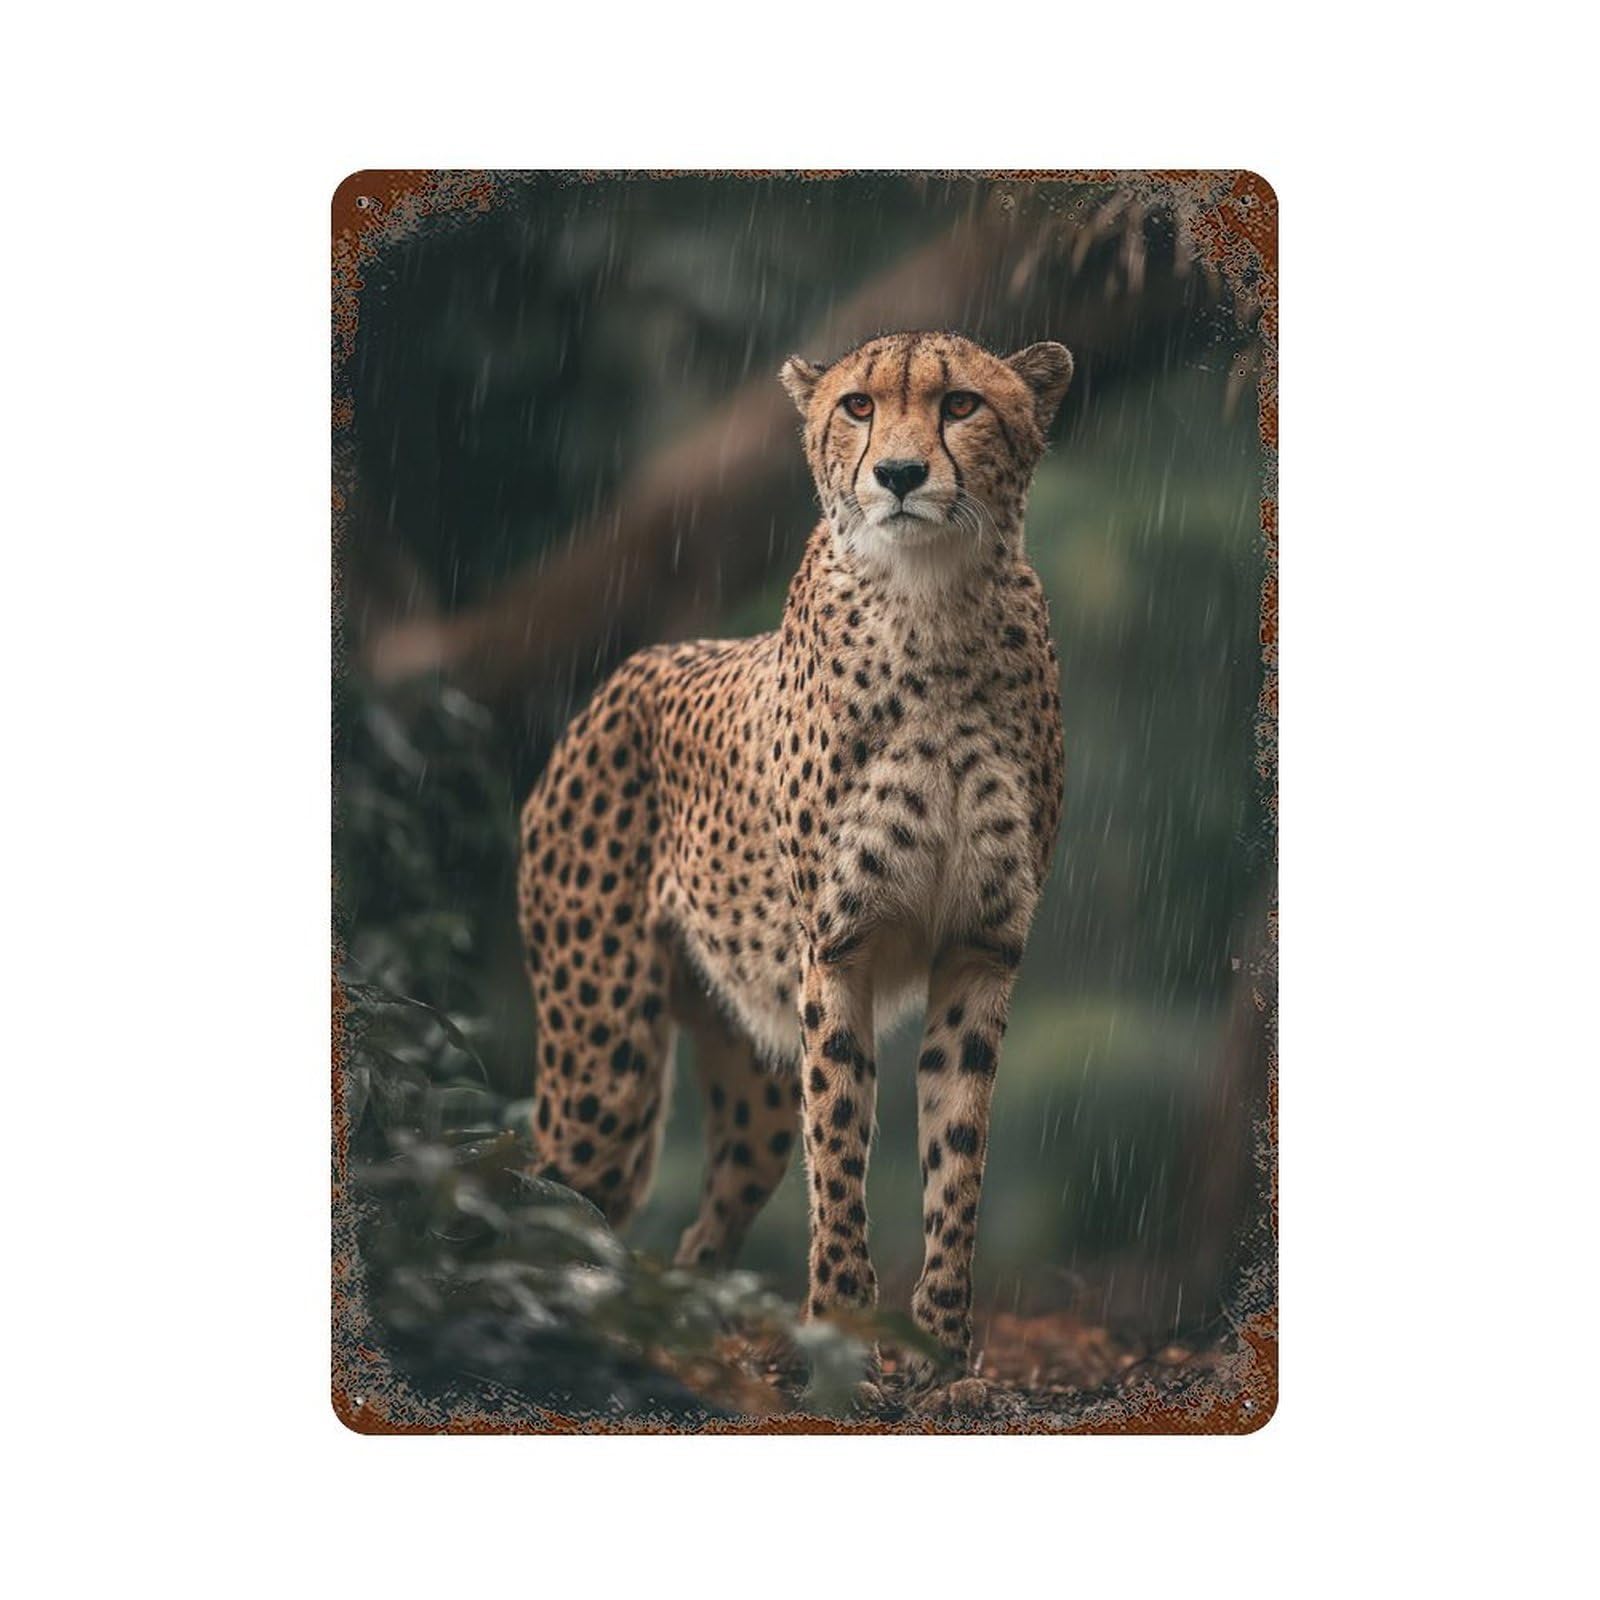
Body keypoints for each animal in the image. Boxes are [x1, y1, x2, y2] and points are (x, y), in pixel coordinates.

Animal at [518, 329, 1071, 1382]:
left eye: (962, 405)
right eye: (858, 406)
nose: (899, 475)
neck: (933, 603)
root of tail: (619, 677)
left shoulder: (981, 947)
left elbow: (957, 1151)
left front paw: (942, 1355)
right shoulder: (839, 949)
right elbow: (843, 1144)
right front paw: (845, 1336)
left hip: (751, 1065)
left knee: (702, 1229)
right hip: (605, 1063)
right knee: (552, 1187)